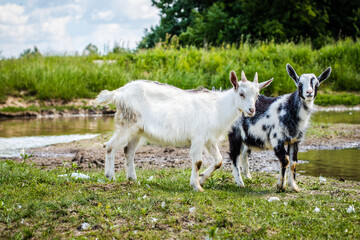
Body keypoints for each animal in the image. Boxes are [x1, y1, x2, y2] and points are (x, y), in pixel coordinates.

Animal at [95, 71, 272, 191]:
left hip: (137, 130)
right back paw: (110, 176)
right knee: (110, 146)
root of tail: (118, 93)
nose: (251, 110)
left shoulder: (209, 139)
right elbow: (198, 161)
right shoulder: (198, 137)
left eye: (257, 95)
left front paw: (202, 179)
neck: (217, 106)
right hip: (127, 123)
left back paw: (133, 179)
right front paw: (196, 186)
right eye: (241, 93)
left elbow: (219, 160)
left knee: (128, 150)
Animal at [229, 63, 330, 191]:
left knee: (244, 153)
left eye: (316, 84)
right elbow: (285, 160)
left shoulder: (295, 141)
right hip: (234, 134)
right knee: (234, 156)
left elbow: (293, 163)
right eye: (299, 84)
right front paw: (280, 186)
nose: (309, 92)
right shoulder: (277, 139)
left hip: (247, 136)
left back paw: (248, 177)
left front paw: (294, 186)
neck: (289, 109)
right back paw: (239, 182)